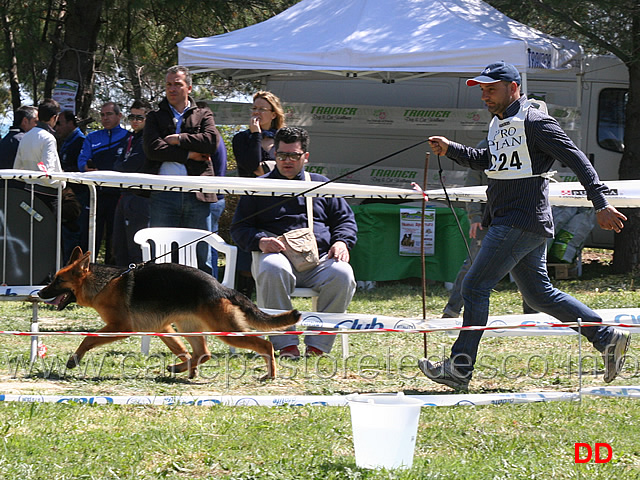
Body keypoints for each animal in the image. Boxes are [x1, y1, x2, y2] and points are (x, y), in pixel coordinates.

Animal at [38, 248, 302, 378]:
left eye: (58, 281)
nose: (39, 293)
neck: (104, 284)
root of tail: (222, 288)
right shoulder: (162, 328)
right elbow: (181, 349)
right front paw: (184, 366)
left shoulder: (121, 327)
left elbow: (88, 338)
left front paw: (74, 359)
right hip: (189, 327)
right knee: (202, 353)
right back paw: (182, 370)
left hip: (226, 331)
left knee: (265, 345)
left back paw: (270, 375)